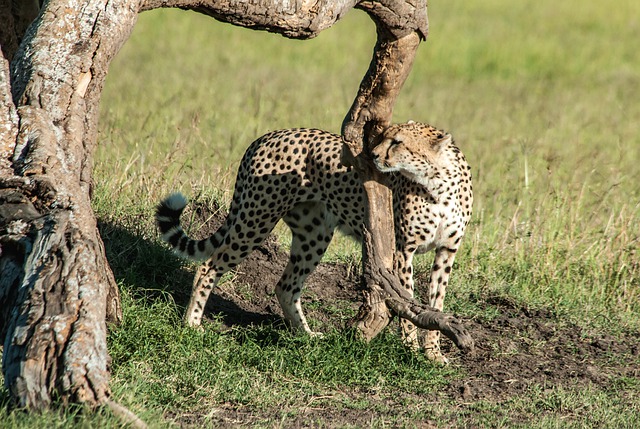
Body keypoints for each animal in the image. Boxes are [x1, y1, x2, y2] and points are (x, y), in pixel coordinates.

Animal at [158, 121, 472, 362]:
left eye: (397, 142)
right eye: (383, 137)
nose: (372, 155)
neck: (438, 184)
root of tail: (268, 135)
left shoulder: (447, 251)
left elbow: (436, 302)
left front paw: (433, 353)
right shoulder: (402, 250)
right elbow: (408, 300)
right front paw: (409, 347)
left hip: (314, 234)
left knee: (286, 285)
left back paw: (306, 335)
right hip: (258, 218)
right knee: (209, 266)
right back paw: (192, 322)